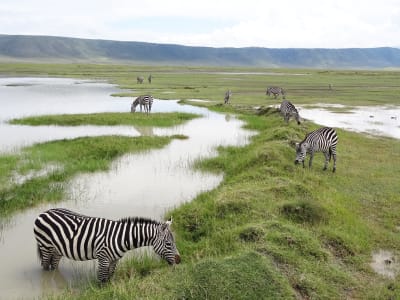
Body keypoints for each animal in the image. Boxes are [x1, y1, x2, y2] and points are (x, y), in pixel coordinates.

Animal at [32, 209, 181, 284]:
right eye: (169, 244)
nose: (179, 260)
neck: (121, 238)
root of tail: (43, 212)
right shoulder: (103, 258)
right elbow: (102, 279)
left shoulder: (114, 260)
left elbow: (110, 277)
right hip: (45, 246)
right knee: (45, 266)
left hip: (57, 249)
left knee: (54, 266)